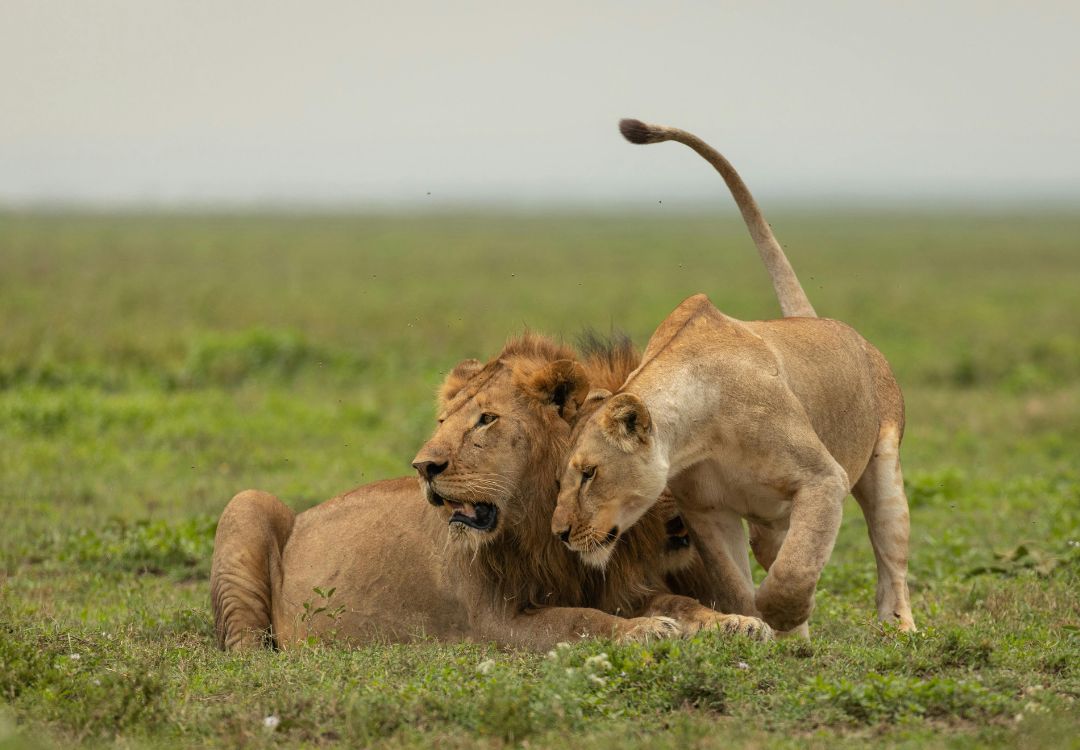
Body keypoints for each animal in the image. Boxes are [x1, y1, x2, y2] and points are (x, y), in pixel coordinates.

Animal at [211, 333, 770, 652]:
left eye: (486, 420)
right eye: (443, 422)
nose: (423, 466)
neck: (544, 525)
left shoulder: (620, 586)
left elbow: (680, 601)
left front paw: (735, 623)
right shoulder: (492, 622)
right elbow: (577, 621)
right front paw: (643, 631)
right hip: (247, 504)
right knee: (244, 642)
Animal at [551, 118, 916, 636]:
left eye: (589, 474)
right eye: (560, 479)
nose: (560, 534)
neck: (701, 433)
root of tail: (824, 323)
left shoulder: (823, 479)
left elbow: (795, 570)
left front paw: (782, 615)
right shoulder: (707, 512)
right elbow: (734, 583)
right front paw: (753, 627)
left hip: (882, 468)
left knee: (890, 556)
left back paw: (898, 628)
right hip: (768, 523)